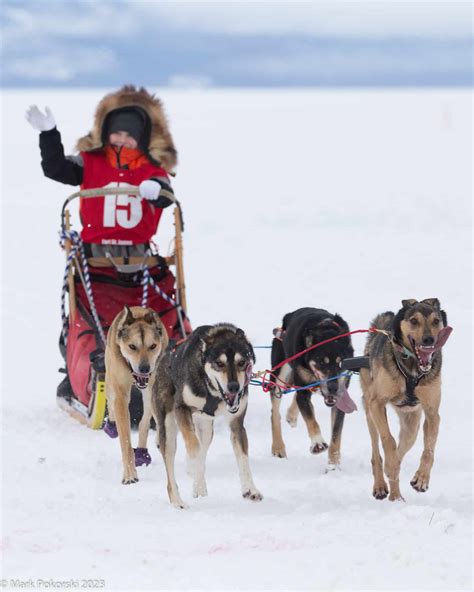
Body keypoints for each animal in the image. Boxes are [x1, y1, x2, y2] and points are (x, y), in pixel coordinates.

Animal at [105, 306, 168, 486]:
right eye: (132, 346)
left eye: (153, 346)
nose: (145, 368)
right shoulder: (120, 394)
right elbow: (125, 442)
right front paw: (129, 475)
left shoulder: (152, 387)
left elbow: (145, 422)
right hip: (109, 377)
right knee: (110, 401)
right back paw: (111, 425)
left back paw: (144, 448)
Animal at [153, 322, 262, 506]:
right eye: (219, 363)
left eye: (242, 362)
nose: (234, 387)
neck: (213, 392)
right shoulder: (181, 409)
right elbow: (193, 445)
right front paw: (192, 465)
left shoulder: (237, 424)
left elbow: (243, 458)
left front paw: (250, 489)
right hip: (168, 428)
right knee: (172, 465)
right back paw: (177, 501)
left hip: (206, 429)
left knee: (203, 449)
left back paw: (199, 486)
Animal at [270, 308, 356, 470]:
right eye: (322, 363)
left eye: (341, 362)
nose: (333, 388)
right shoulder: (303, 392)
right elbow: (311, 420)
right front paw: (317, 442)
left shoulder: (340, 399)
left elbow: (336, 435)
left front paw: (333, 465)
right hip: (278, 377)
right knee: (275, 413)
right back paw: (278, 447)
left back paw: (291, 415)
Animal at [360, 298, 452, 502]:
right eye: (414, 321)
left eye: (436, 321)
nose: (428, 340)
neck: (413, 369)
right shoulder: (377, 404)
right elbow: (388, 440)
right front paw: (390, 465)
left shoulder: (432, 413)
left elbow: (428, 451)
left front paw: (422, 478)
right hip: (369, 413)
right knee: (377, 452)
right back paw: (381, 484)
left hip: (411, 426)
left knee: (402, 450)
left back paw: (396, 497)